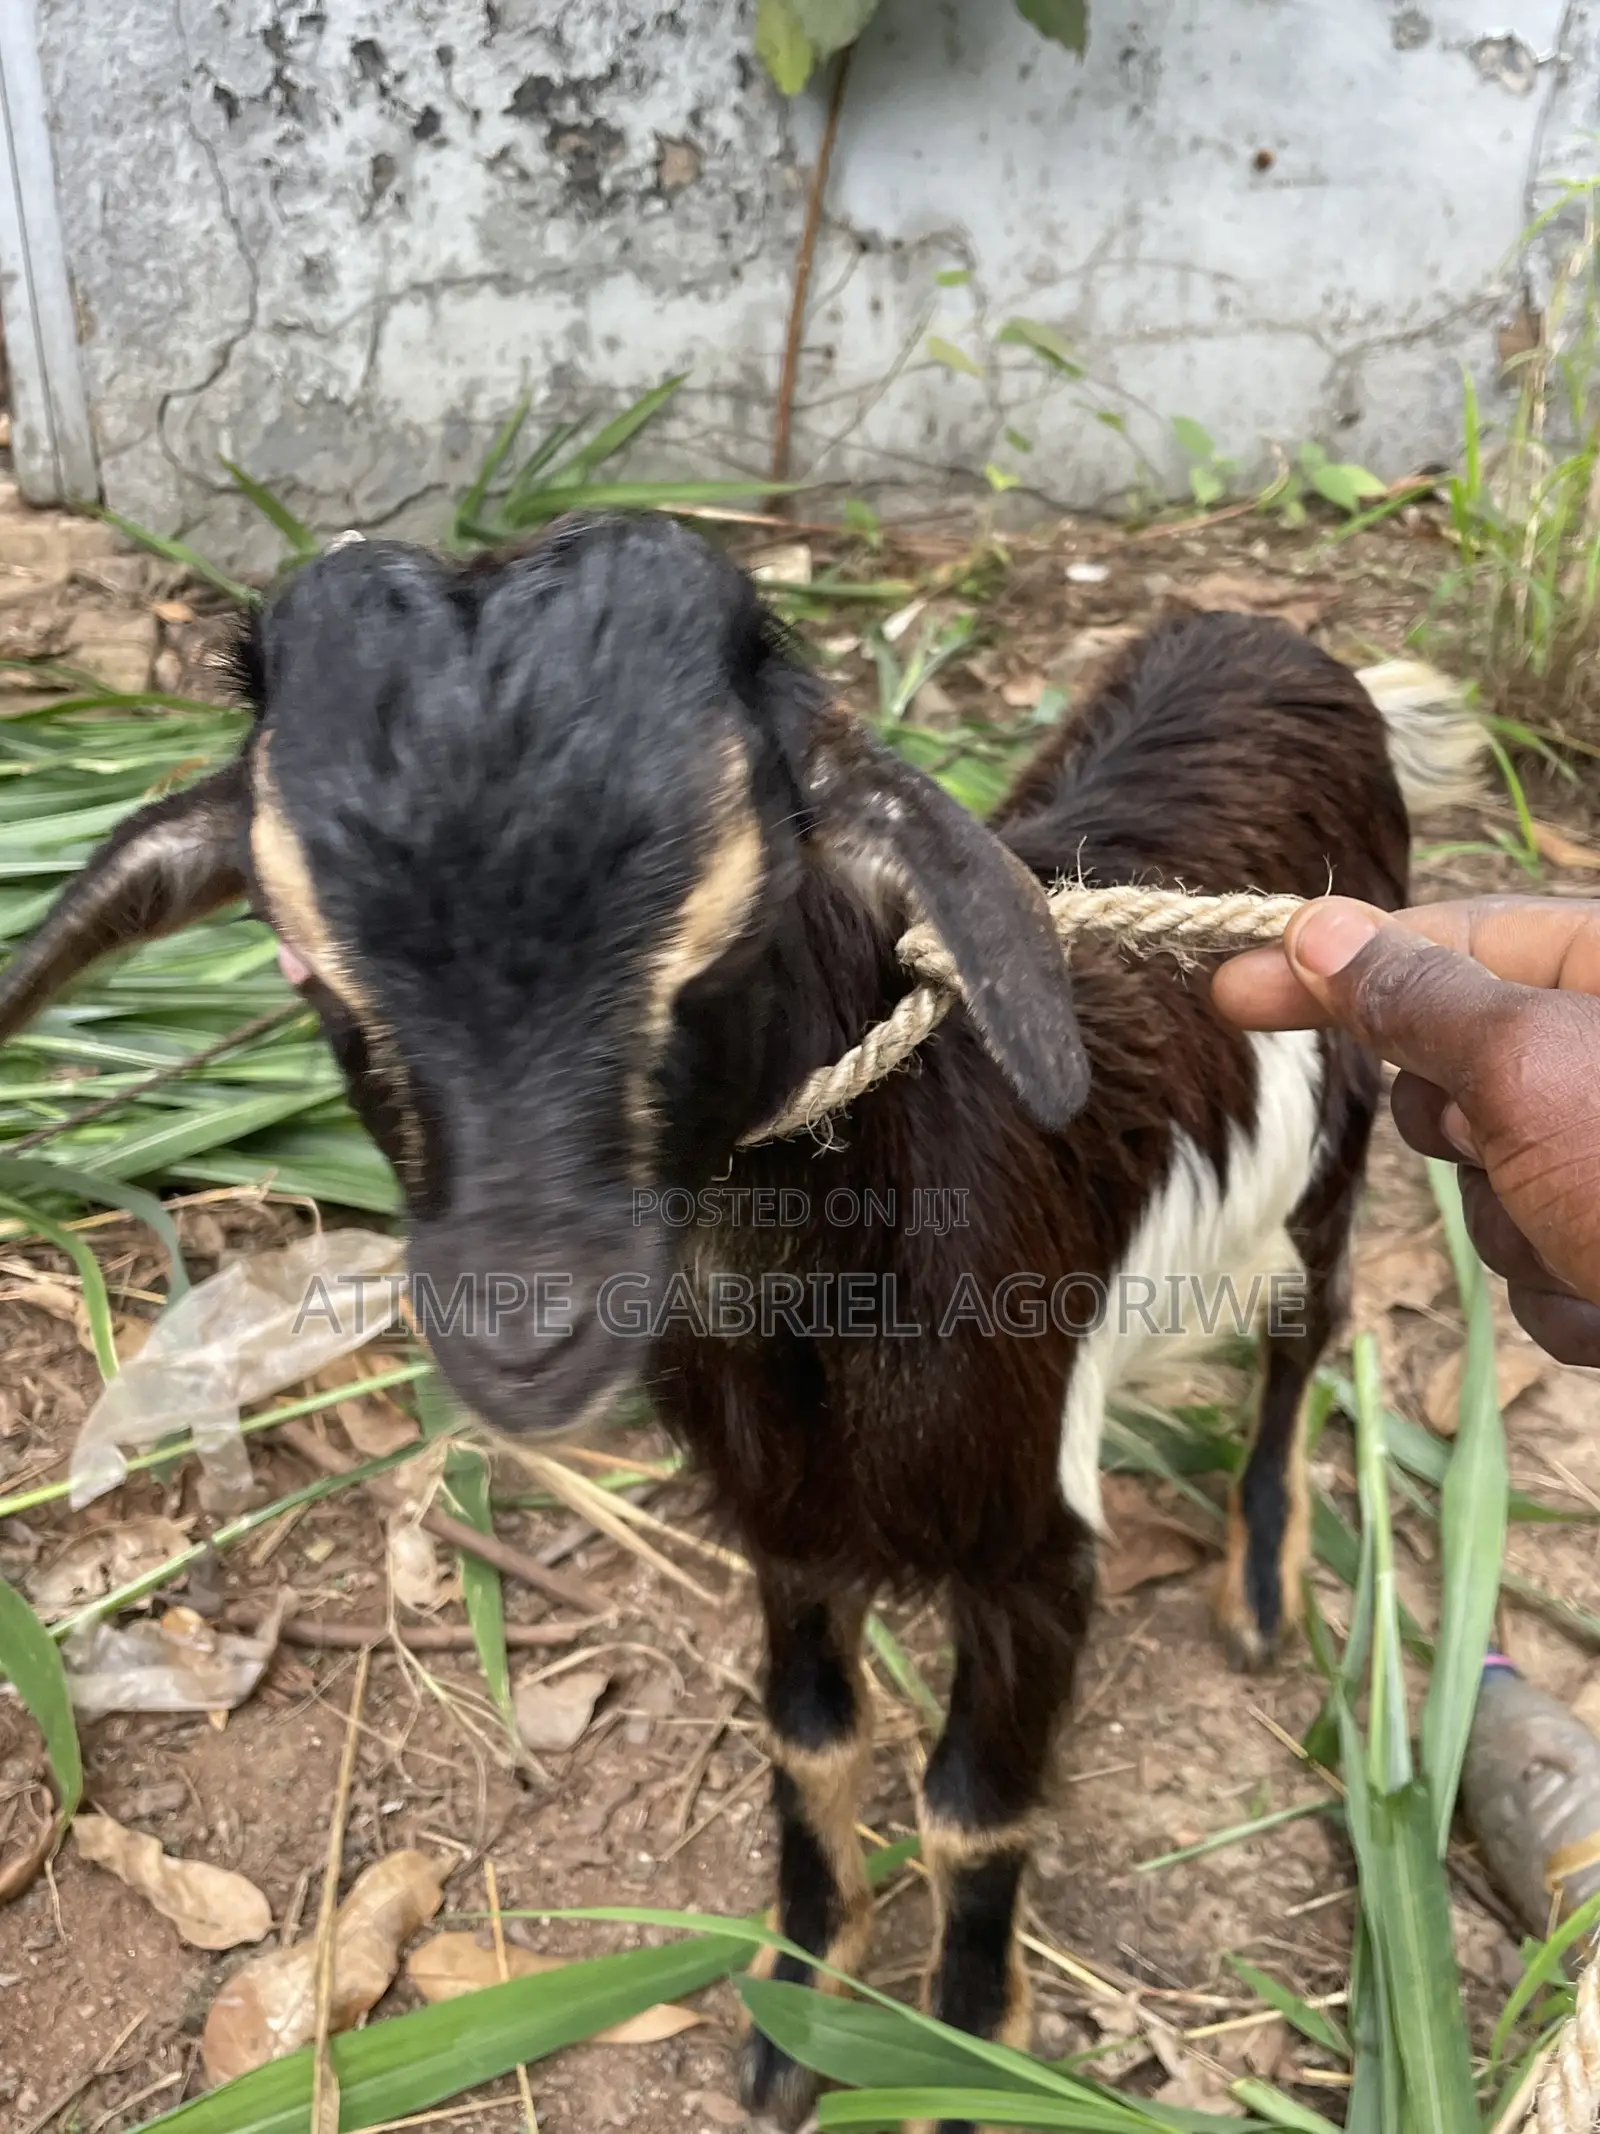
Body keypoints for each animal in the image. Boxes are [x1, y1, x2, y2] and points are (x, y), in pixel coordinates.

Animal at [0, 516, 1479, 2133]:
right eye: (307, 969)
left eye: (729, 934)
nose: (523, 1331)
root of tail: (1286, 644)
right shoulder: (789, 1522)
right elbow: (811, 1739)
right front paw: (797, 2008)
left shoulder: (1034, 1546)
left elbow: (972, 1814)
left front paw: (965, 2057)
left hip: (1341, 1135)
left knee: (1304, 1334)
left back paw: (1262, 1571)